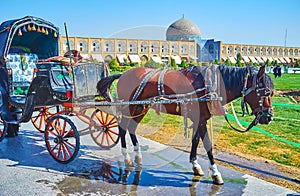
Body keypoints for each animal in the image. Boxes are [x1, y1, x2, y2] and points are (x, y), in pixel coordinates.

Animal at [96, 64, 274, 185]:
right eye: (265, 91)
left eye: (272, 93)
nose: (268, 117)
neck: (209, 84)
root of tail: (124, 73)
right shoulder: (200, 119)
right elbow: (207, 144)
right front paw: (215, 173)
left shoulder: (200, 119)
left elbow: (195, 141)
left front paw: (195, 165)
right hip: (130, 106)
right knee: (122, 127)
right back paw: (127, 157)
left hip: (141, 107)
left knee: (131, 128)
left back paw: (138, 155)